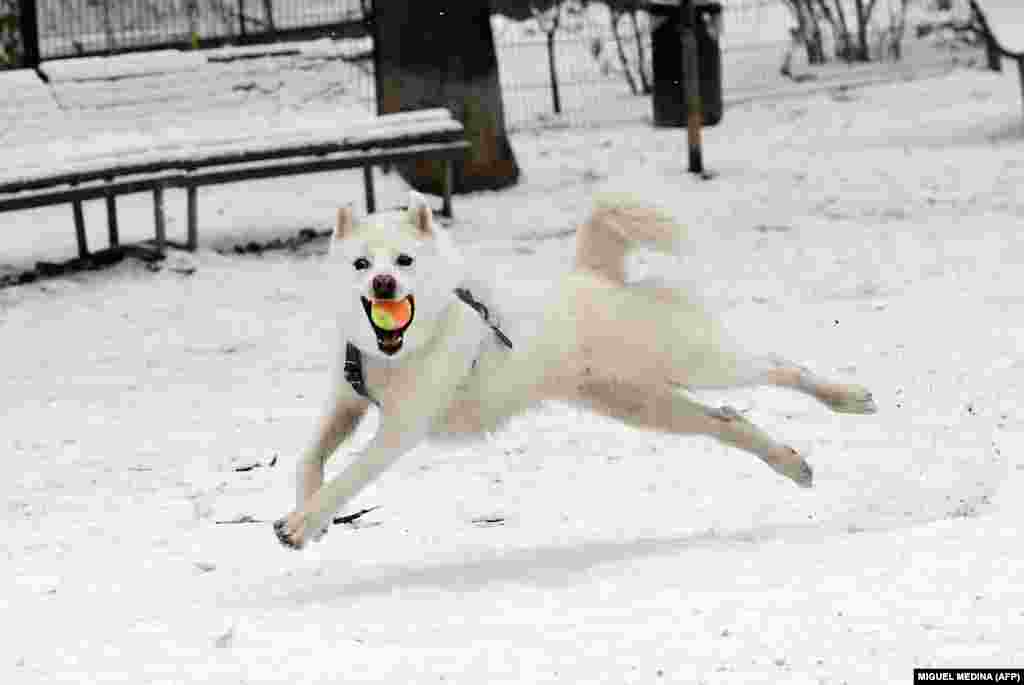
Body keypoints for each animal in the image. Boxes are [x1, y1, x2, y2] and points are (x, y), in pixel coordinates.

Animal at [274, 189, 880, 548]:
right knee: (729, 419)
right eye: (360, 263)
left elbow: (350, 475)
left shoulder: (400, 429)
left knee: (779, 366)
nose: (383, 284)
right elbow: (310, 460)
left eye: (404, 261)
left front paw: (305, 522)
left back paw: (848, 397)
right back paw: (792, 465)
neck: (394, 352)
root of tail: (597, 275)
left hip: (699, 360)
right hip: (643, 404)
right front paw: (308, 515)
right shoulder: (347, 403)